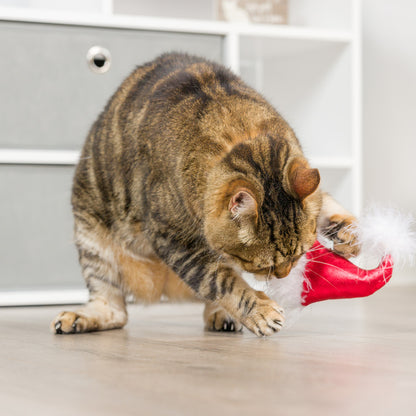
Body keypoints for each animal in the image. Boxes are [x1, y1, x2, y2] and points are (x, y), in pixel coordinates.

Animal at [51, 52, 358, 338]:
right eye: (263, 265)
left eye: (300, 254)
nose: (284, 274)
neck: (243, 138)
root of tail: (161, 285)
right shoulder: (173, 238)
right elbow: (221, 281)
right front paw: (260, 310)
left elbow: (326, 203)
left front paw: (349, 232)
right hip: (91, 236)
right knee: (114, 309)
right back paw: (78, 317)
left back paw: (222, 316)